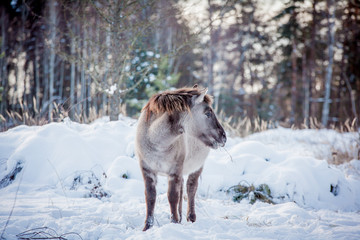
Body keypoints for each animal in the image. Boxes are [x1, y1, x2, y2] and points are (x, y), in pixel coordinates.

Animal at [134, 84, 226, 231]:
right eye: (208, 113)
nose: (223, 136)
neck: (155, 141)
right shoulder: (147, 170)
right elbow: (150, 197)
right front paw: (147, 227)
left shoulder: (175, 171)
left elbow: (173, 196)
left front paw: (174, 222)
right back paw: (181, 217)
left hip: (197, 167)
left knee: (191, 188)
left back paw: (190, 218)